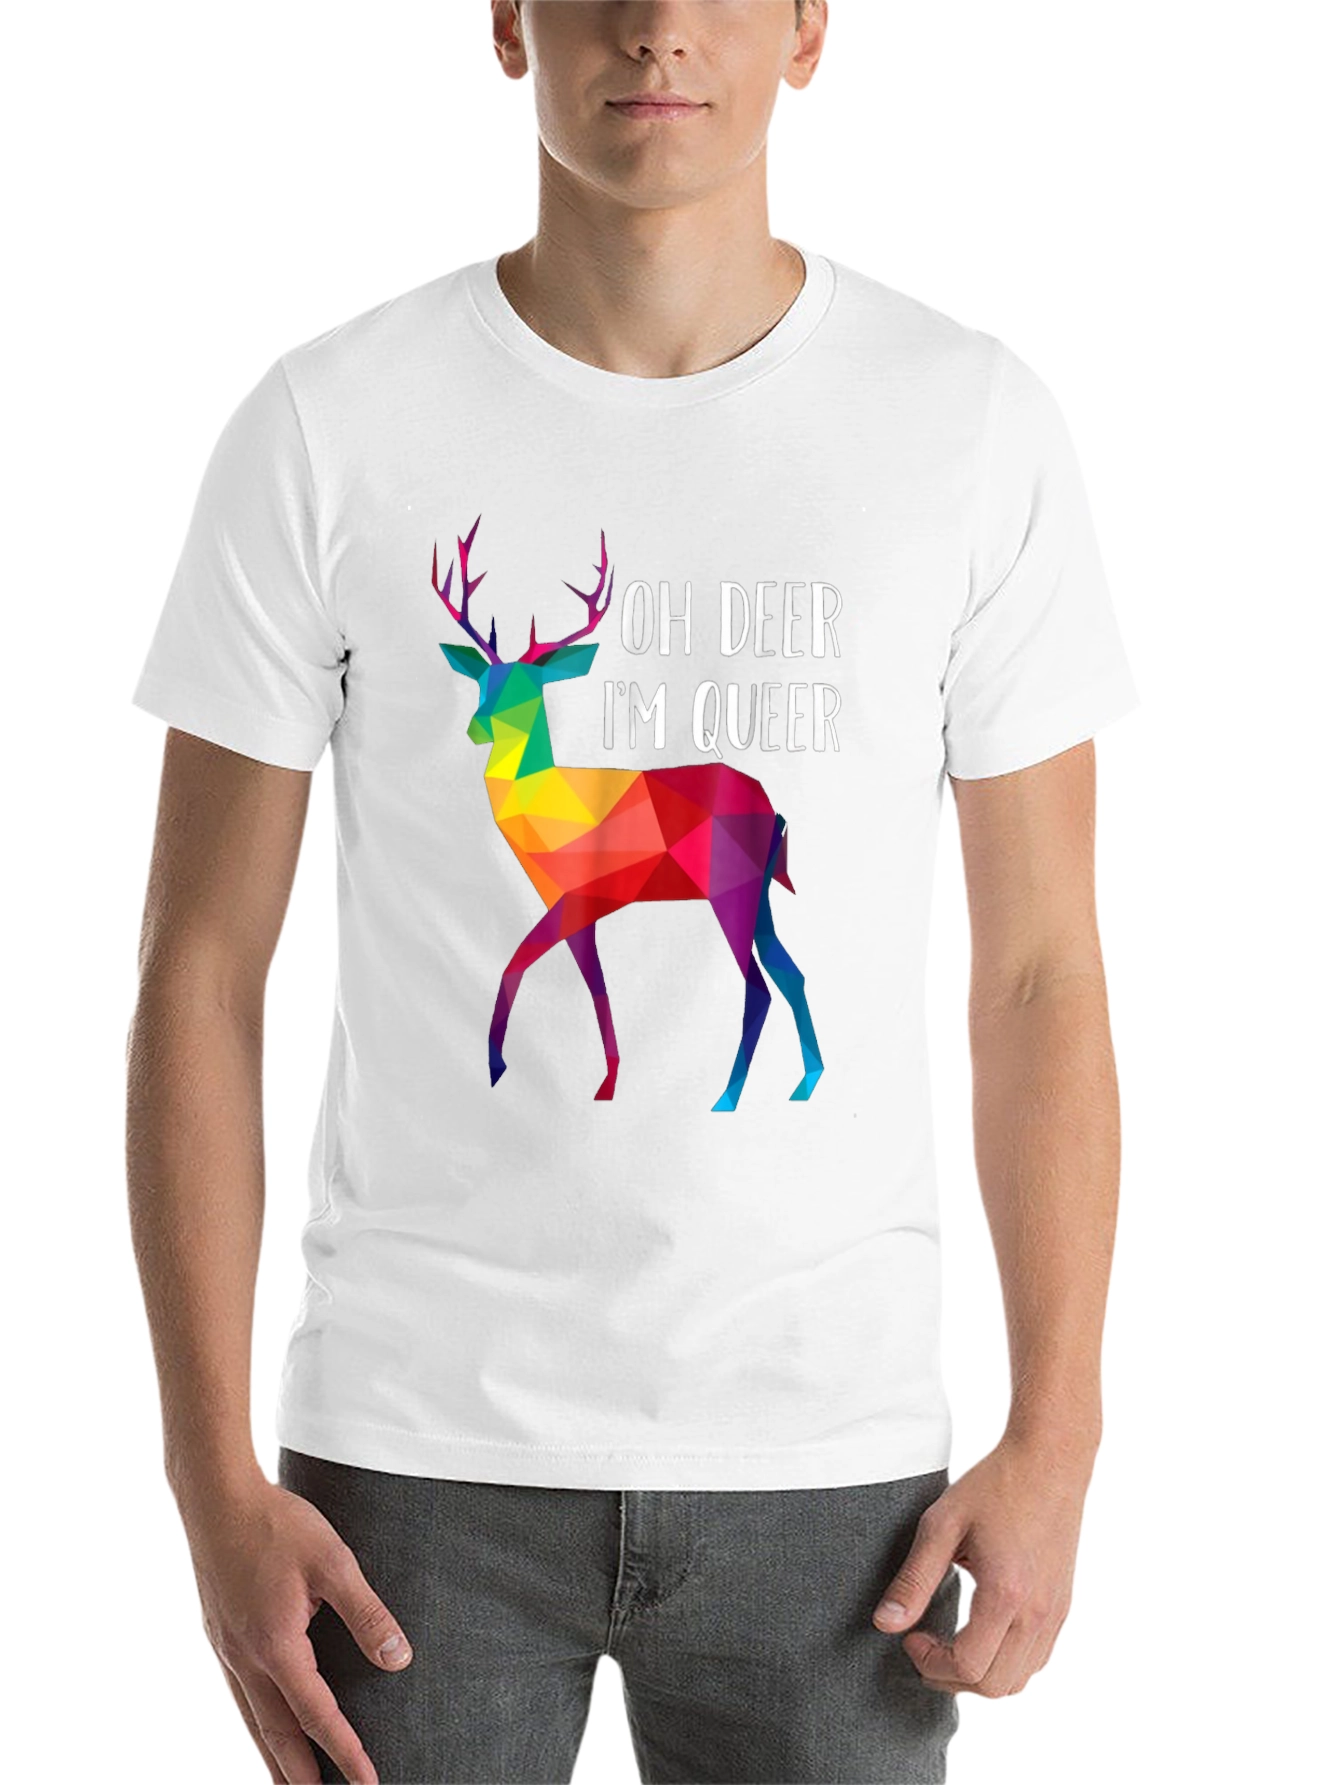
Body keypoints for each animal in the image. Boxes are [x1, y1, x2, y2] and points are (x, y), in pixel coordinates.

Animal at [432, 513, 823, 1111]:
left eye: (529, 687)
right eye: (482, 681)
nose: (476, 727)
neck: (545, 802)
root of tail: (774, 810)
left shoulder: (576, 898)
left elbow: (515, 963)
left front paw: (498, 1069)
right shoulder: (576, 910)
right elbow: (596, 989)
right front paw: (608, 1082)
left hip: (730, 892)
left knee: (758, 989)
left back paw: (727, 1095)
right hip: (759, 898)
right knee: (793, 974)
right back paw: (804, 1084)